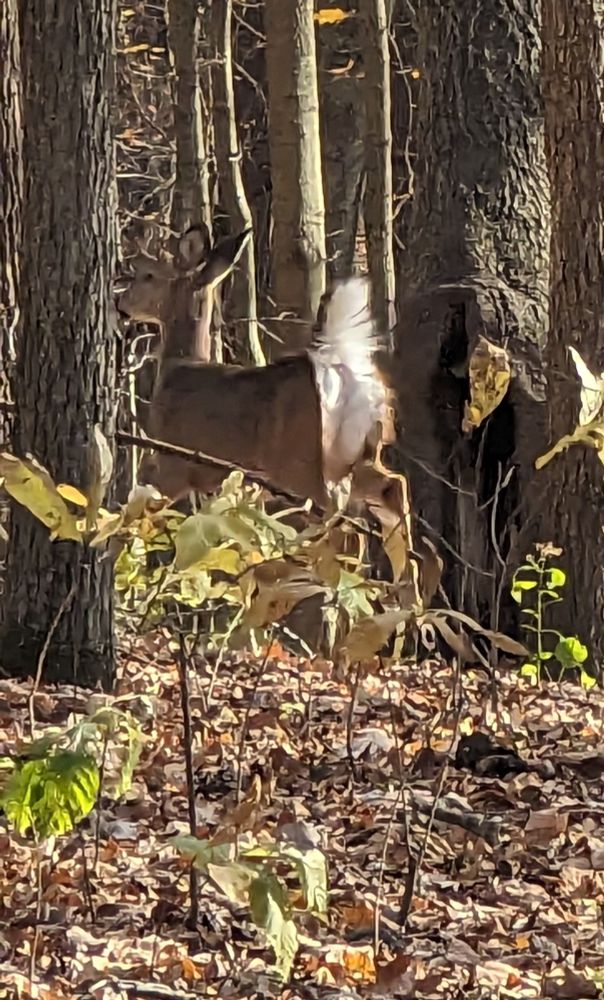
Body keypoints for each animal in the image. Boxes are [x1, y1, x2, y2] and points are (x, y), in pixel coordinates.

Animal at [117, 225, 413, 587]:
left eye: (148, 275)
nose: (121, 304)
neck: (178, 368)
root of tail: (339, 368)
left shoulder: (177, 459)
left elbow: (141, 512)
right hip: (358, 452)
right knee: (392, 487)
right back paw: (407, 586)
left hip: (301, 461)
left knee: (343, 522)